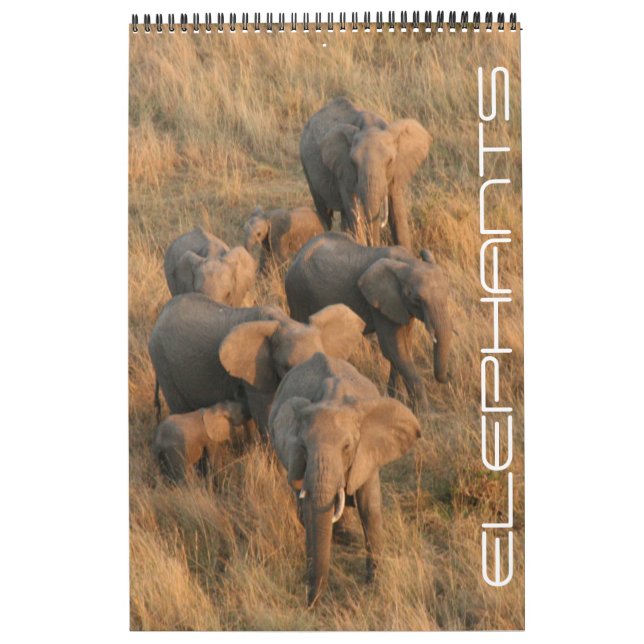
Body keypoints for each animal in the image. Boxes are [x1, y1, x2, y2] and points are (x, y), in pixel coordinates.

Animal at [269, 351, 421, 606]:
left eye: (347, 447)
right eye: (304, 447)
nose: (311, 603)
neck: (333, 399)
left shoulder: (367, 452)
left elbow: (369, 508)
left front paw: (373, 586)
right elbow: (310, 513)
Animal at [285, 232, 453, 414]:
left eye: (447, 293)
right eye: (417, 299)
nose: (450, 376)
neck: (408, 262)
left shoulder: (400, 306)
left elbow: (403, 347)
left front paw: (395, 400)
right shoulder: (379, 302)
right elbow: (393, 348)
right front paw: (426, 413)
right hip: (298, 293)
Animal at [300, 96, 432, 250]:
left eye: (390, 161)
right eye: (353, 163)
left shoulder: (397, 170)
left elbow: (398, 212)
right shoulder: (344, 172)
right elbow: (354, 211)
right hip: (306, 166)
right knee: (325, 212)